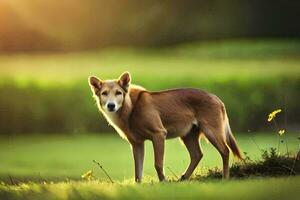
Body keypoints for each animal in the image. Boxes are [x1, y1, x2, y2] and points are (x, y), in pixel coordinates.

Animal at [88, 72, 241, 183]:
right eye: (104, 93)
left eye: (118, 93)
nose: (111, 105)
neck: (131, 109)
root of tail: (217, 98)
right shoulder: (137, 143)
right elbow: (138, 171)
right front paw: (138, 187)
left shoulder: (159, 134)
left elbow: (157, 164)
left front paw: (163, 183)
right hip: (187, 135)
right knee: (197, 155)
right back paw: (184, 178)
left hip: (211, 132)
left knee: (225, 151)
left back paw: (225, 178)